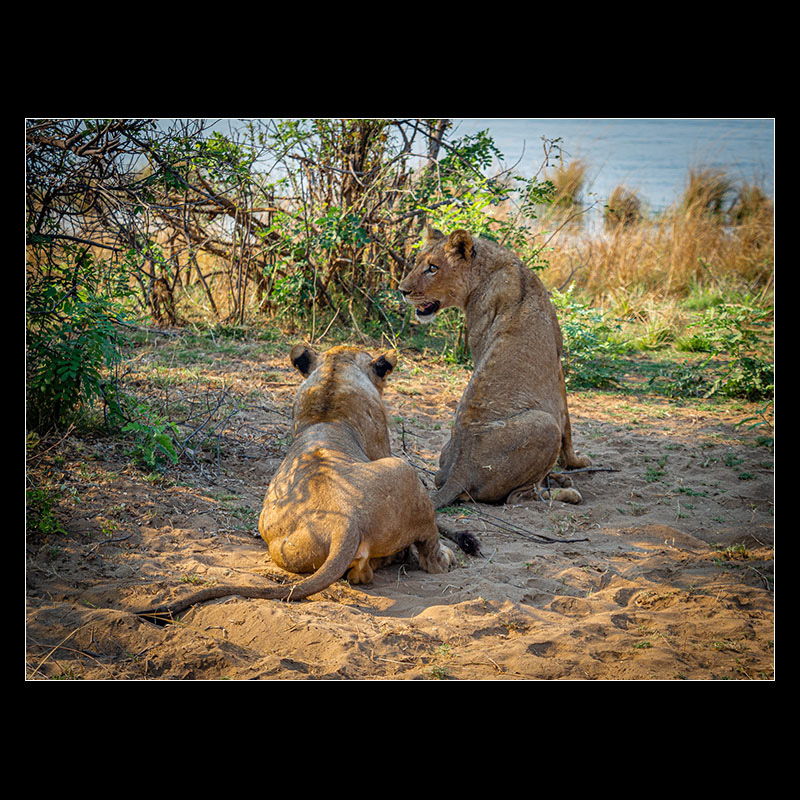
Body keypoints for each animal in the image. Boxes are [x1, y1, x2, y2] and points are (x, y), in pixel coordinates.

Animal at [134, 344, 454, 620]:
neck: (331, 389)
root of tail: (344, 522)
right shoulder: (382, 443)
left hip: (286, 550)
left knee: (360, 573)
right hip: (405, 470)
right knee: (428, 551)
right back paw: (444, 558)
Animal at [396, 228, 592, 510]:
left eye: (432, 268)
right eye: (418, 264)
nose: (402, 290)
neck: (488, 269)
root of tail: (460, 471)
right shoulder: (557, 360)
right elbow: (567, 424)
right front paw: (576, 463)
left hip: (444, 461)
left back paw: (557, 479)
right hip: (545, 424)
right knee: (520, 497)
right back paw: (565, 491)